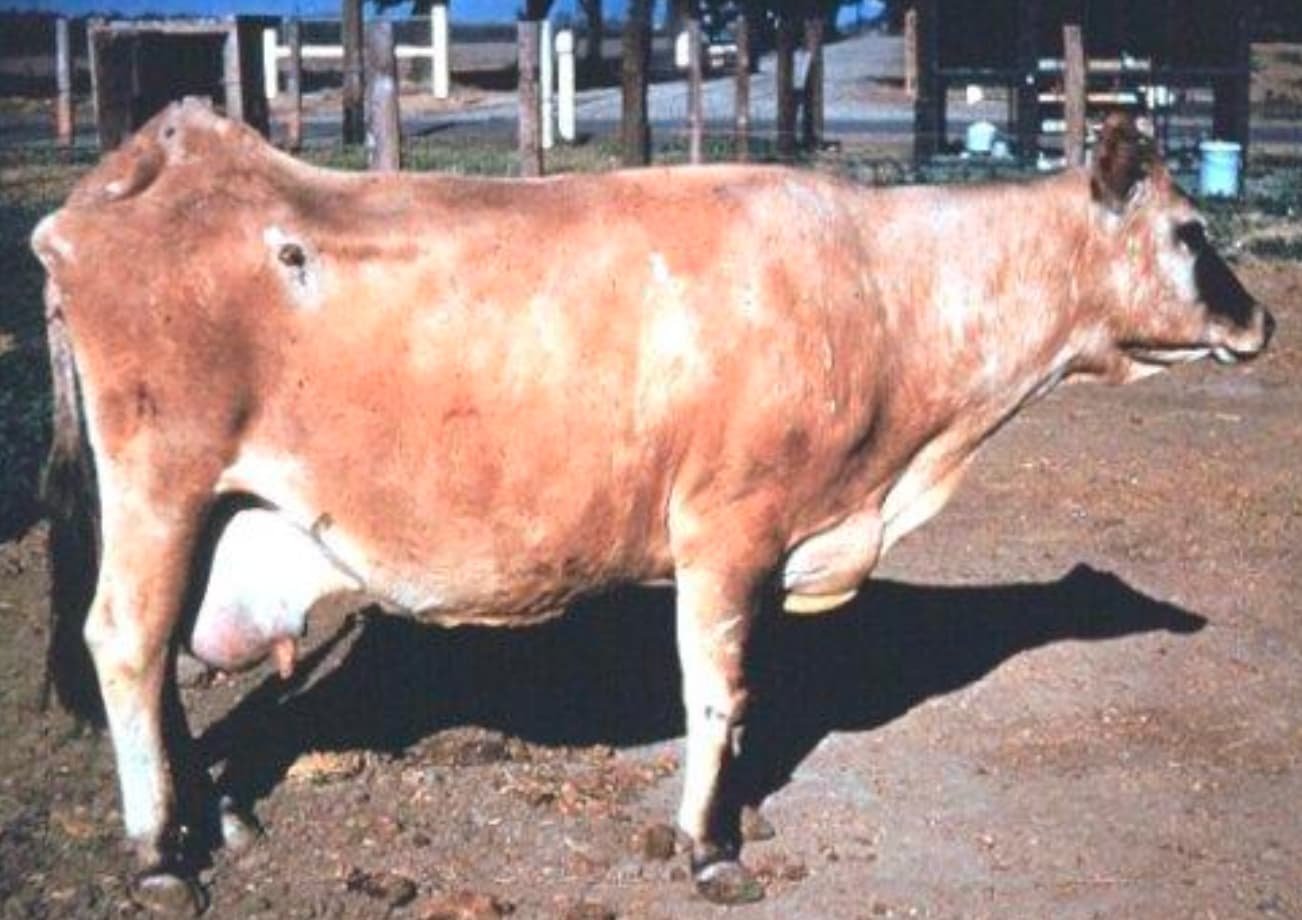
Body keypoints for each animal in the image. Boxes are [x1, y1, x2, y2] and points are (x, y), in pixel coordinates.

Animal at [32, 103, 1273, 911]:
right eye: (1190, 231)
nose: (1260, 318)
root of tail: (151, 159)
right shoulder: (730, 523)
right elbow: (720, 688)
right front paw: (708, 843)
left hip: (202, 508)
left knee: (163, 660)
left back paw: (211, 817)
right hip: (159, 481)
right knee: (128, 642)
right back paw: (159, 854)